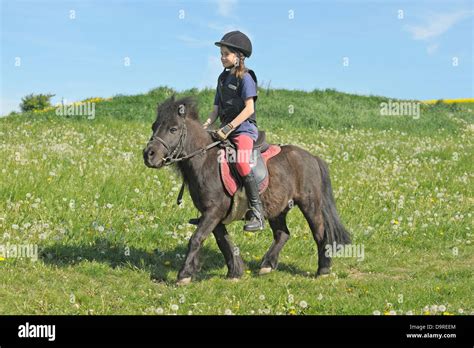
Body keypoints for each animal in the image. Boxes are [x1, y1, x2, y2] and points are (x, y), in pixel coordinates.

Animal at [143, 94, 350, 284]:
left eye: (173, 129)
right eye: (154, 126)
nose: (148, 155)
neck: (205, 161)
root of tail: (313, 157)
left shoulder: (213, 211)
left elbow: (196, 238)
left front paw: (184, 275)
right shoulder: (213, 214)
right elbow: (224, 242)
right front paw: (235, 271)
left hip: (310, 204)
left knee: (320, 233)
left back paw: (323, 269)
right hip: (278, 208)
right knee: (282, 234)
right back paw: (267, 265)